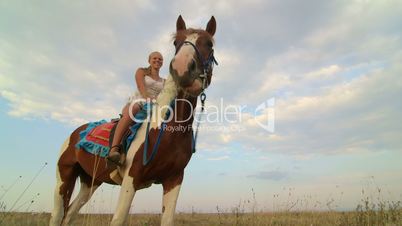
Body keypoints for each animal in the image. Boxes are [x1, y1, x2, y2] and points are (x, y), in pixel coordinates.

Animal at [49, 15, 218, 226]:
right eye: (176, 43)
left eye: (209, 43)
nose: (182, 68)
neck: (165, 132)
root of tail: (75, 133)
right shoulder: (131, 179)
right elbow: (118, 219)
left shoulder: (174, 180)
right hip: (64, 176)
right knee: (58, 215)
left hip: (90, 181)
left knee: (70, 214)